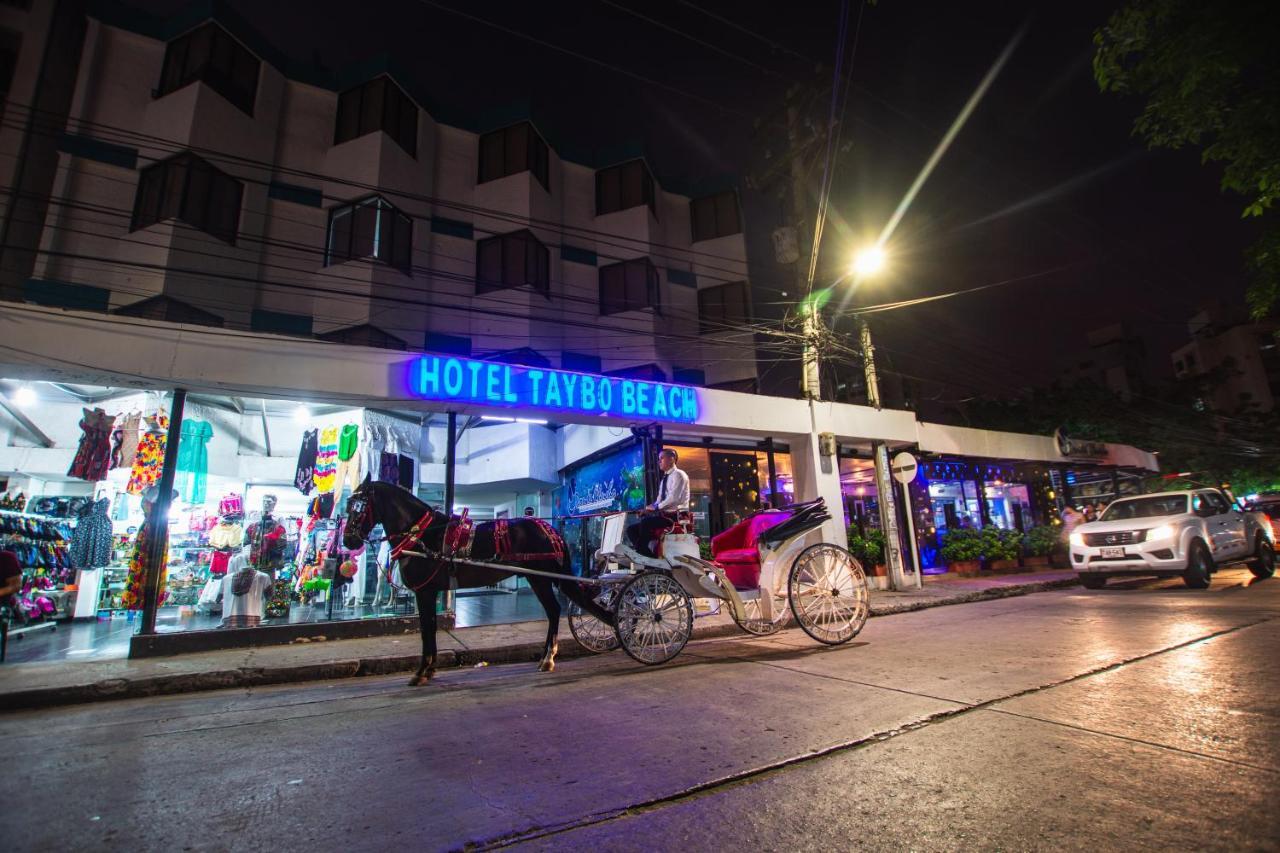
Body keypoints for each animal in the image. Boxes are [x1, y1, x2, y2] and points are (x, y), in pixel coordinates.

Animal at [345, 479, 614, 686]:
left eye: (358, 507)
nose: (348, 540)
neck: (421, 534)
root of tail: (549, 529)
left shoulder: (424, 592)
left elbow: (426, 631)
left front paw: (421, 672)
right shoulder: (430, 591)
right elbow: (431, 628)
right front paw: (430, 669)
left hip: (540, 578)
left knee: (554, 610)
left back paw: (548, 657)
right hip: (538, 577)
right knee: (554, 610)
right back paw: (548, 657)